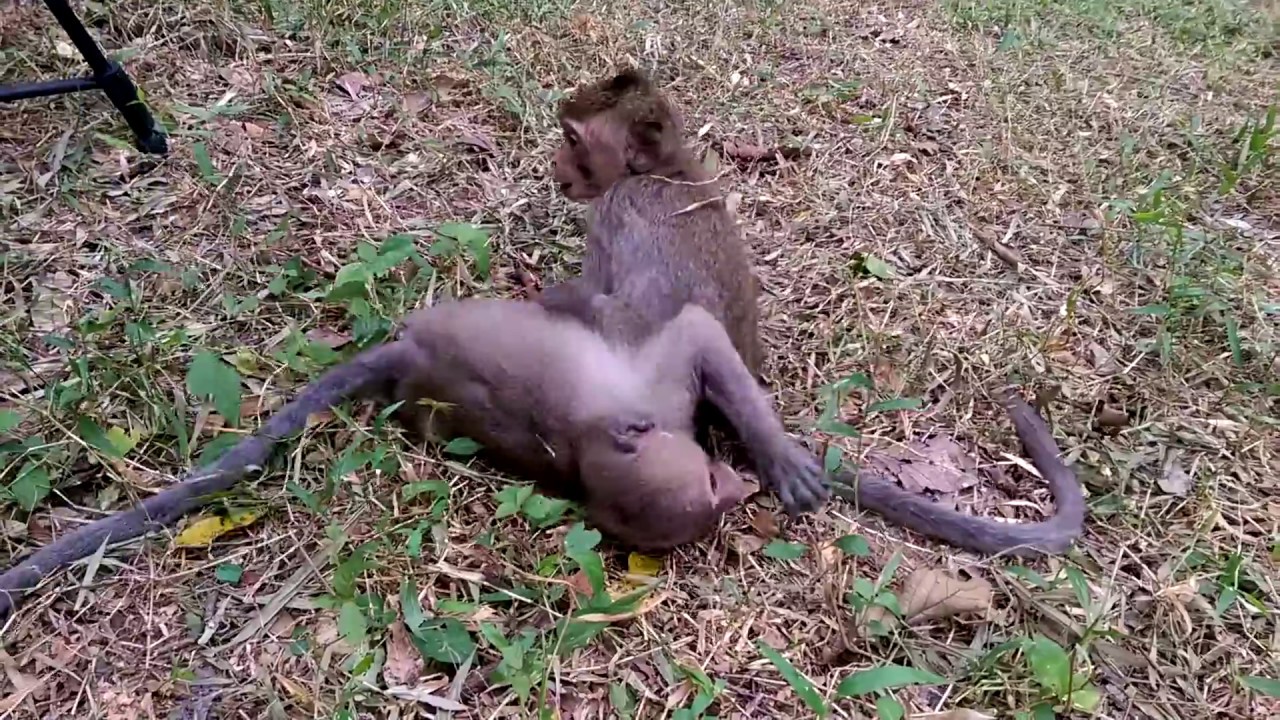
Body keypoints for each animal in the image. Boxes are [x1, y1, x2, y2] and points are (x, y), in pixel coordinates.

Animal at [0, 295, 814, 618]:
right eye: (707, 477)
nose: (732, 486)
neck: (587, 453)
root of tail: (411, 352)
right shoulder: (659, 391)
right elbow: (701, 332)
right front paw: (780, 456)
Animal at [535, 67, 1086, 556]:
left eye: (573, 139)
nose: (557, 166)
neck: (663, 171)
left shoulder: (613, 212)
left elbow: (613, 309)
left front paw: (550, 299)